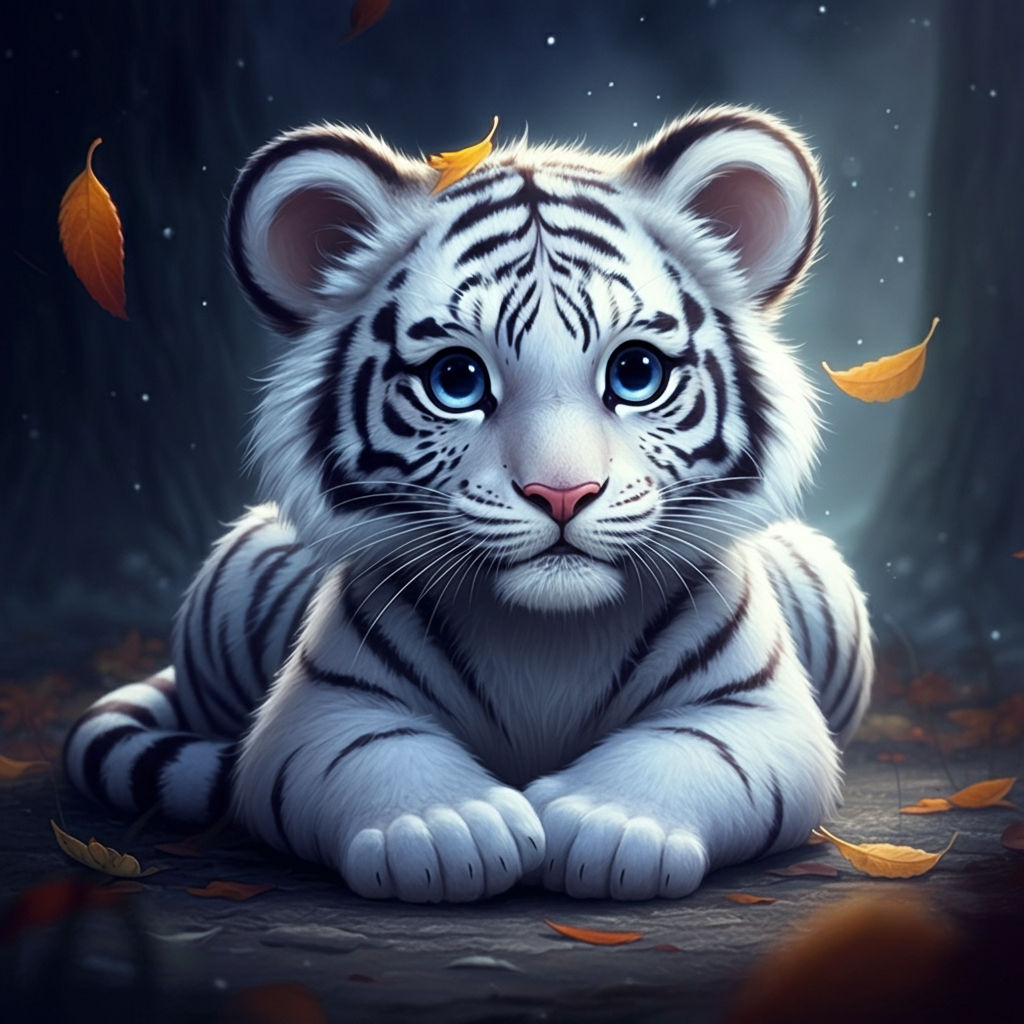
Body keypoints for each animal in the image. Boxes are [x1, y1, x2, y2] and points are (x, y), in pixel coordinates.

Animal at [64, 106, 873, 903]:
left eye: (635, 372)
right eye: (457, 379)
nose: (562, 493)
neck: (548, 639)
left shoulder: (759, 711)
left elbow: (699, 747)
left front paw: (606, 823)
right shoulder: (320, 710)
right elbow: (367, 750)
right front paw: (439, 830)